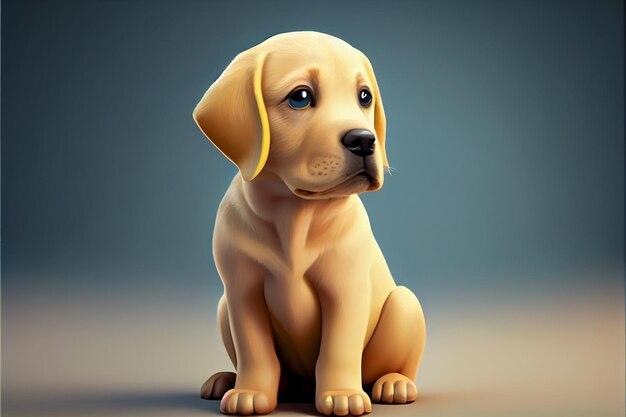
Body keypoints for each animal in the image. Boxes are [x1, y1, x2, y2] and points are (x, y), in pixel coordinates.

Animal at [191, 30, 424, 414]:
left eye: (364, 97)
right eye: (300, 97)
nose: (364, 140)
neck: (295, 213)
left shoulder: (346, 291)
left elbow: (338, 349)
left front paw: (342, 395)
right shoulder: (242, 291)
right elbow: (255, 350)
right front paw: (251, 392)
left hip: (404, 305)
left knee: (390, 362)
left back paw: (395, 383)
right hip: (224, 307)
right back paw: (229, 379)